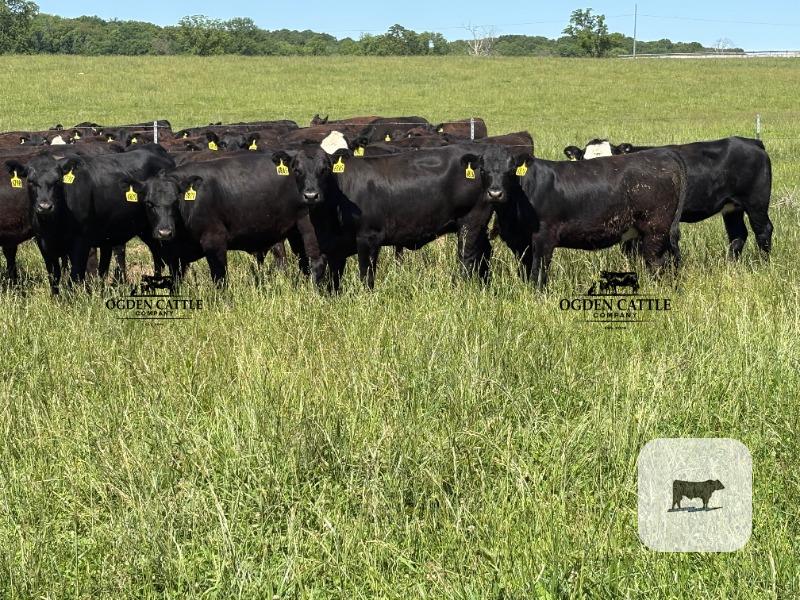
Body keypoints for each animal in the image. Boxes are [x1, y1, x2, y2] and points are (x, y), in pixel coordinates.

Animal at [5, 145, 175, 294]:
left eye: (58, 181)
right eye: (30, 181)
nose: (45, 206)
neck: (54, 226)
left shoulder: (81, 243)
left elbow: (74, 276)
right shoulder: (43, 244)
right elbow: (54, 276)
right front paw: (56, 300)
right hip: (147, 230)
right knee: (157, 257)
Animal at [125, 152, 326, 286]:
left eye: (175, 201)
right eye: (149, 203)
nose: (165, 232)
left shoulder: (214, 241)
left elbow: (219, 278)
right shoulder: (174, 255)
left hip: (308, 227)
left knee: (316, 260)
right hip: (294, 231)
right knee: (303, 261)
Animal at [271, 144, 509, 290]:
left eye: (325, 169)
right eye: (296, 169)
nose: (311, 195)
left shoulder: (368, 238)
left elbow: (366, 275)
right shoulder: (335, 248)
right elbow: (334, 281)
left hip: (471, 222)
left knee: (467, 259)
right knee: (484, 253)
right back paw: (485, 287)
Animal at [490, 147, 687, 288]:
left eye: (511, 170)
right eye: (485, 169)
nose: (495, 193)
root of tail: (663, 153)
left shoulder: (543, 238)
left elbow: (538, 273)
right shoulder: (518, 243)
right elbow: (525, 270)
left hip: (655, 231)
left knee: (657, 264)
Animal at [563, 137, 773, 259]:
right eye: (584, 161)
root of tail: (751, 142)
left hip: (756, 204)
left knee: (763, 231)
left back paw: (762, 264)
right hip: (732, 208)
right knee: (737, 235)